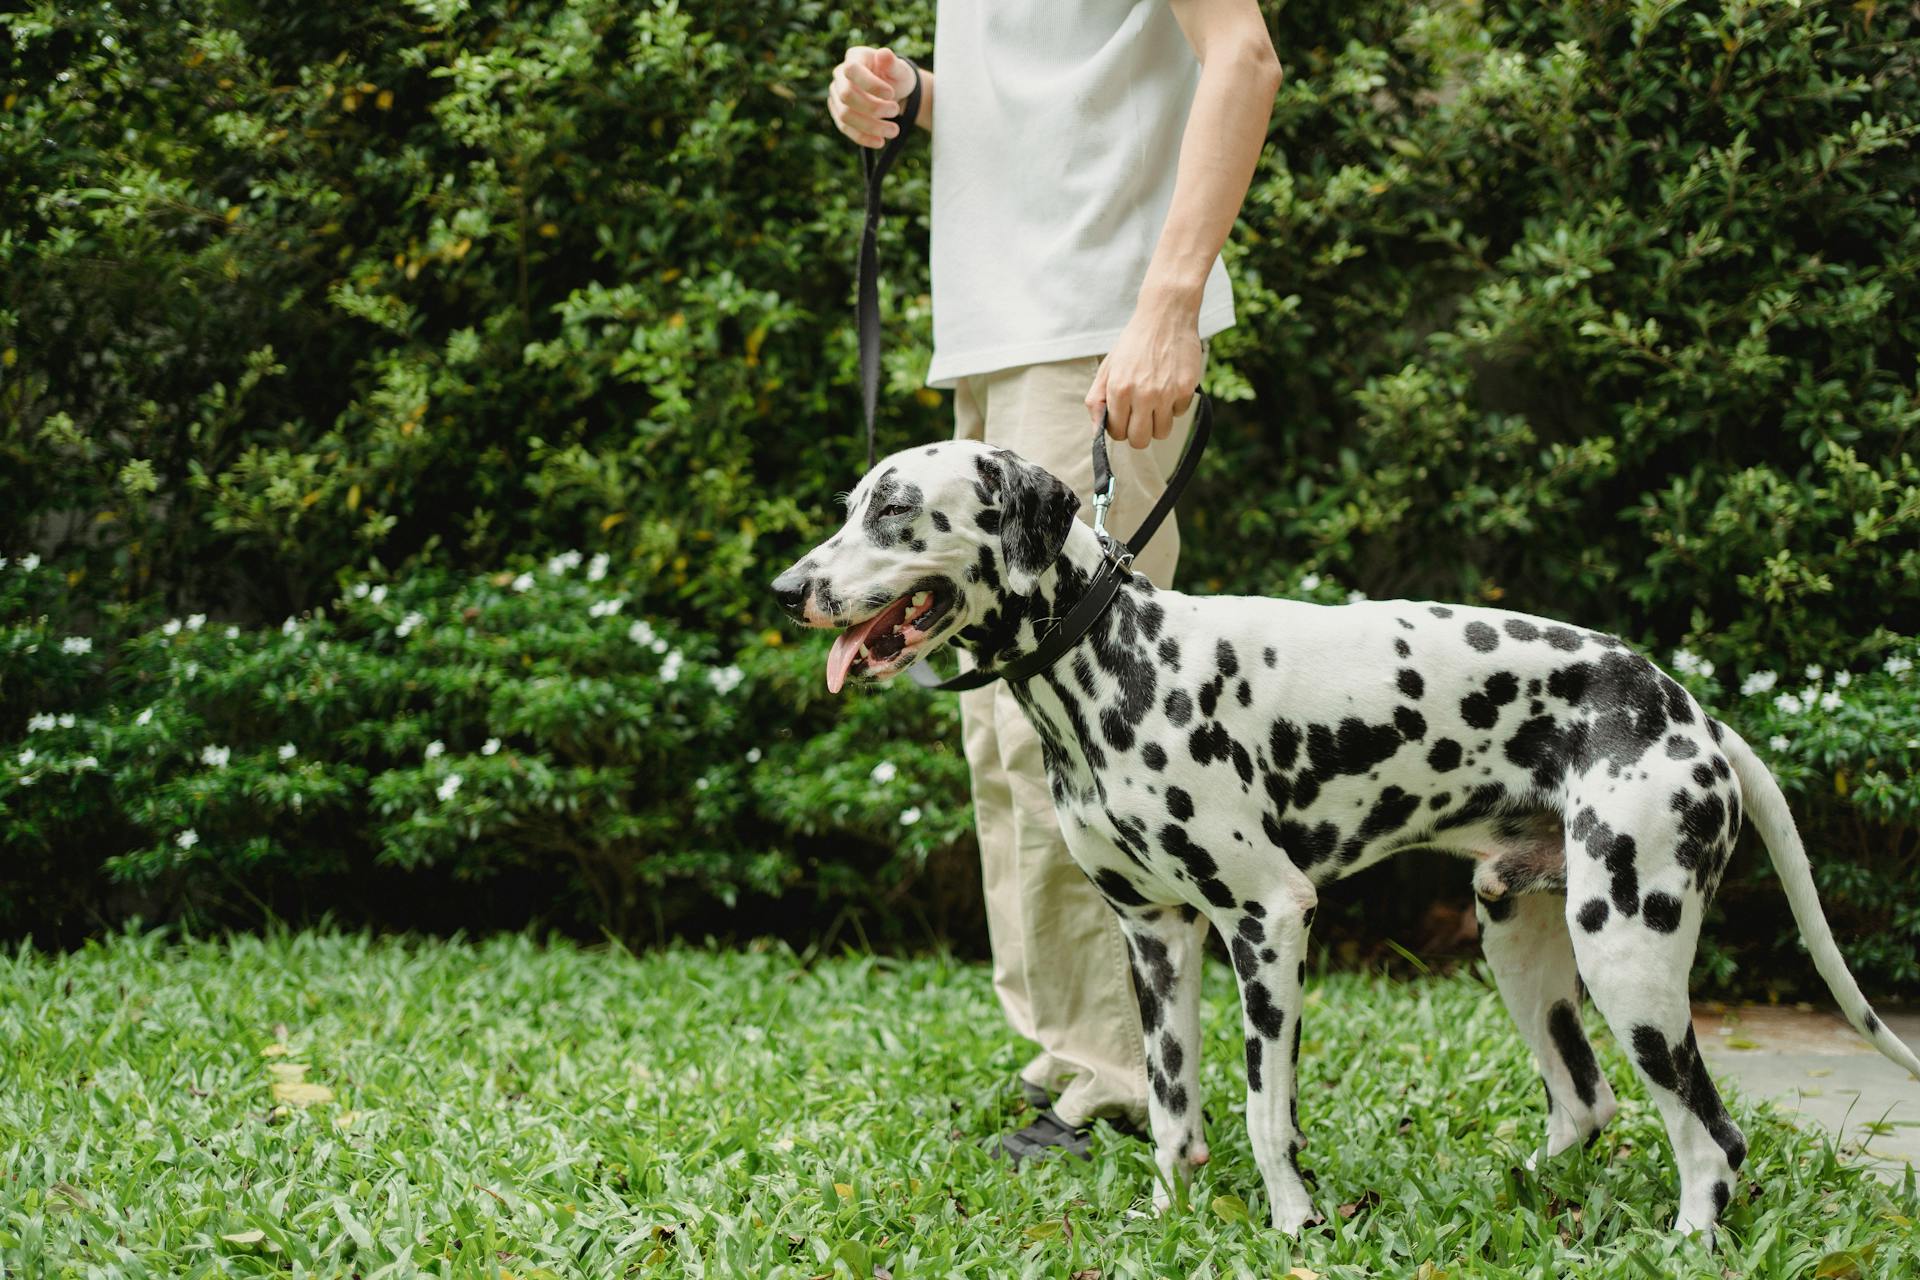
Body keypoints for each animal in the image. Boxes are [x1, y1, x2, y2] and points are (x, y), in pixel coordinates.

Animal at [768, 437, 1920, 1228]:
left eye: (898, 510)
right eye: (849, 507)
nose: (788, 590)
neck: (1118, 658)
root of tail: (1684, 709)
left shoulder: (1268, 923)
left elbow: (1262, 1112)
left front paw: (1293, 1222)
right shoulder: (1156, 939)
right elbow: (1173, 1109)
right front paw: (1169, 1217)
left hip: (1629, 958)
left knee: (1713, 1137)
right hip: (1521, 945)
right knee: (1585, 1104)